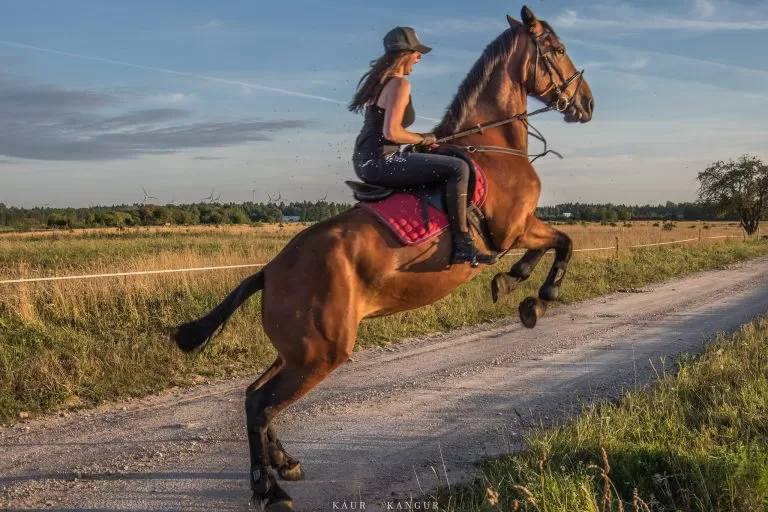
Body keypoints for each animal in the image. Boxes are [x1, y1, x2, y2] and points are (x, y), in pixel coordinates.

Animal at [172, 6, 592, 510]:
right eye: (558, 50)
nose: (587, 104)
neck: (491, 144)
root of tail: (270, 271)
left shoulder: (520, 229)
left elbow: (555, 243)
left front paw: (514, 284)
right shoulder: (512, 228)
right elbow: (562, 242)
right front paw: (533, 297)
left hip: (296, 350)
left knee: (254, 395)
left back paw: (285, 464)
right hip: (321, 353)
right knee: (261, 403)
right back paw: (268, 488)